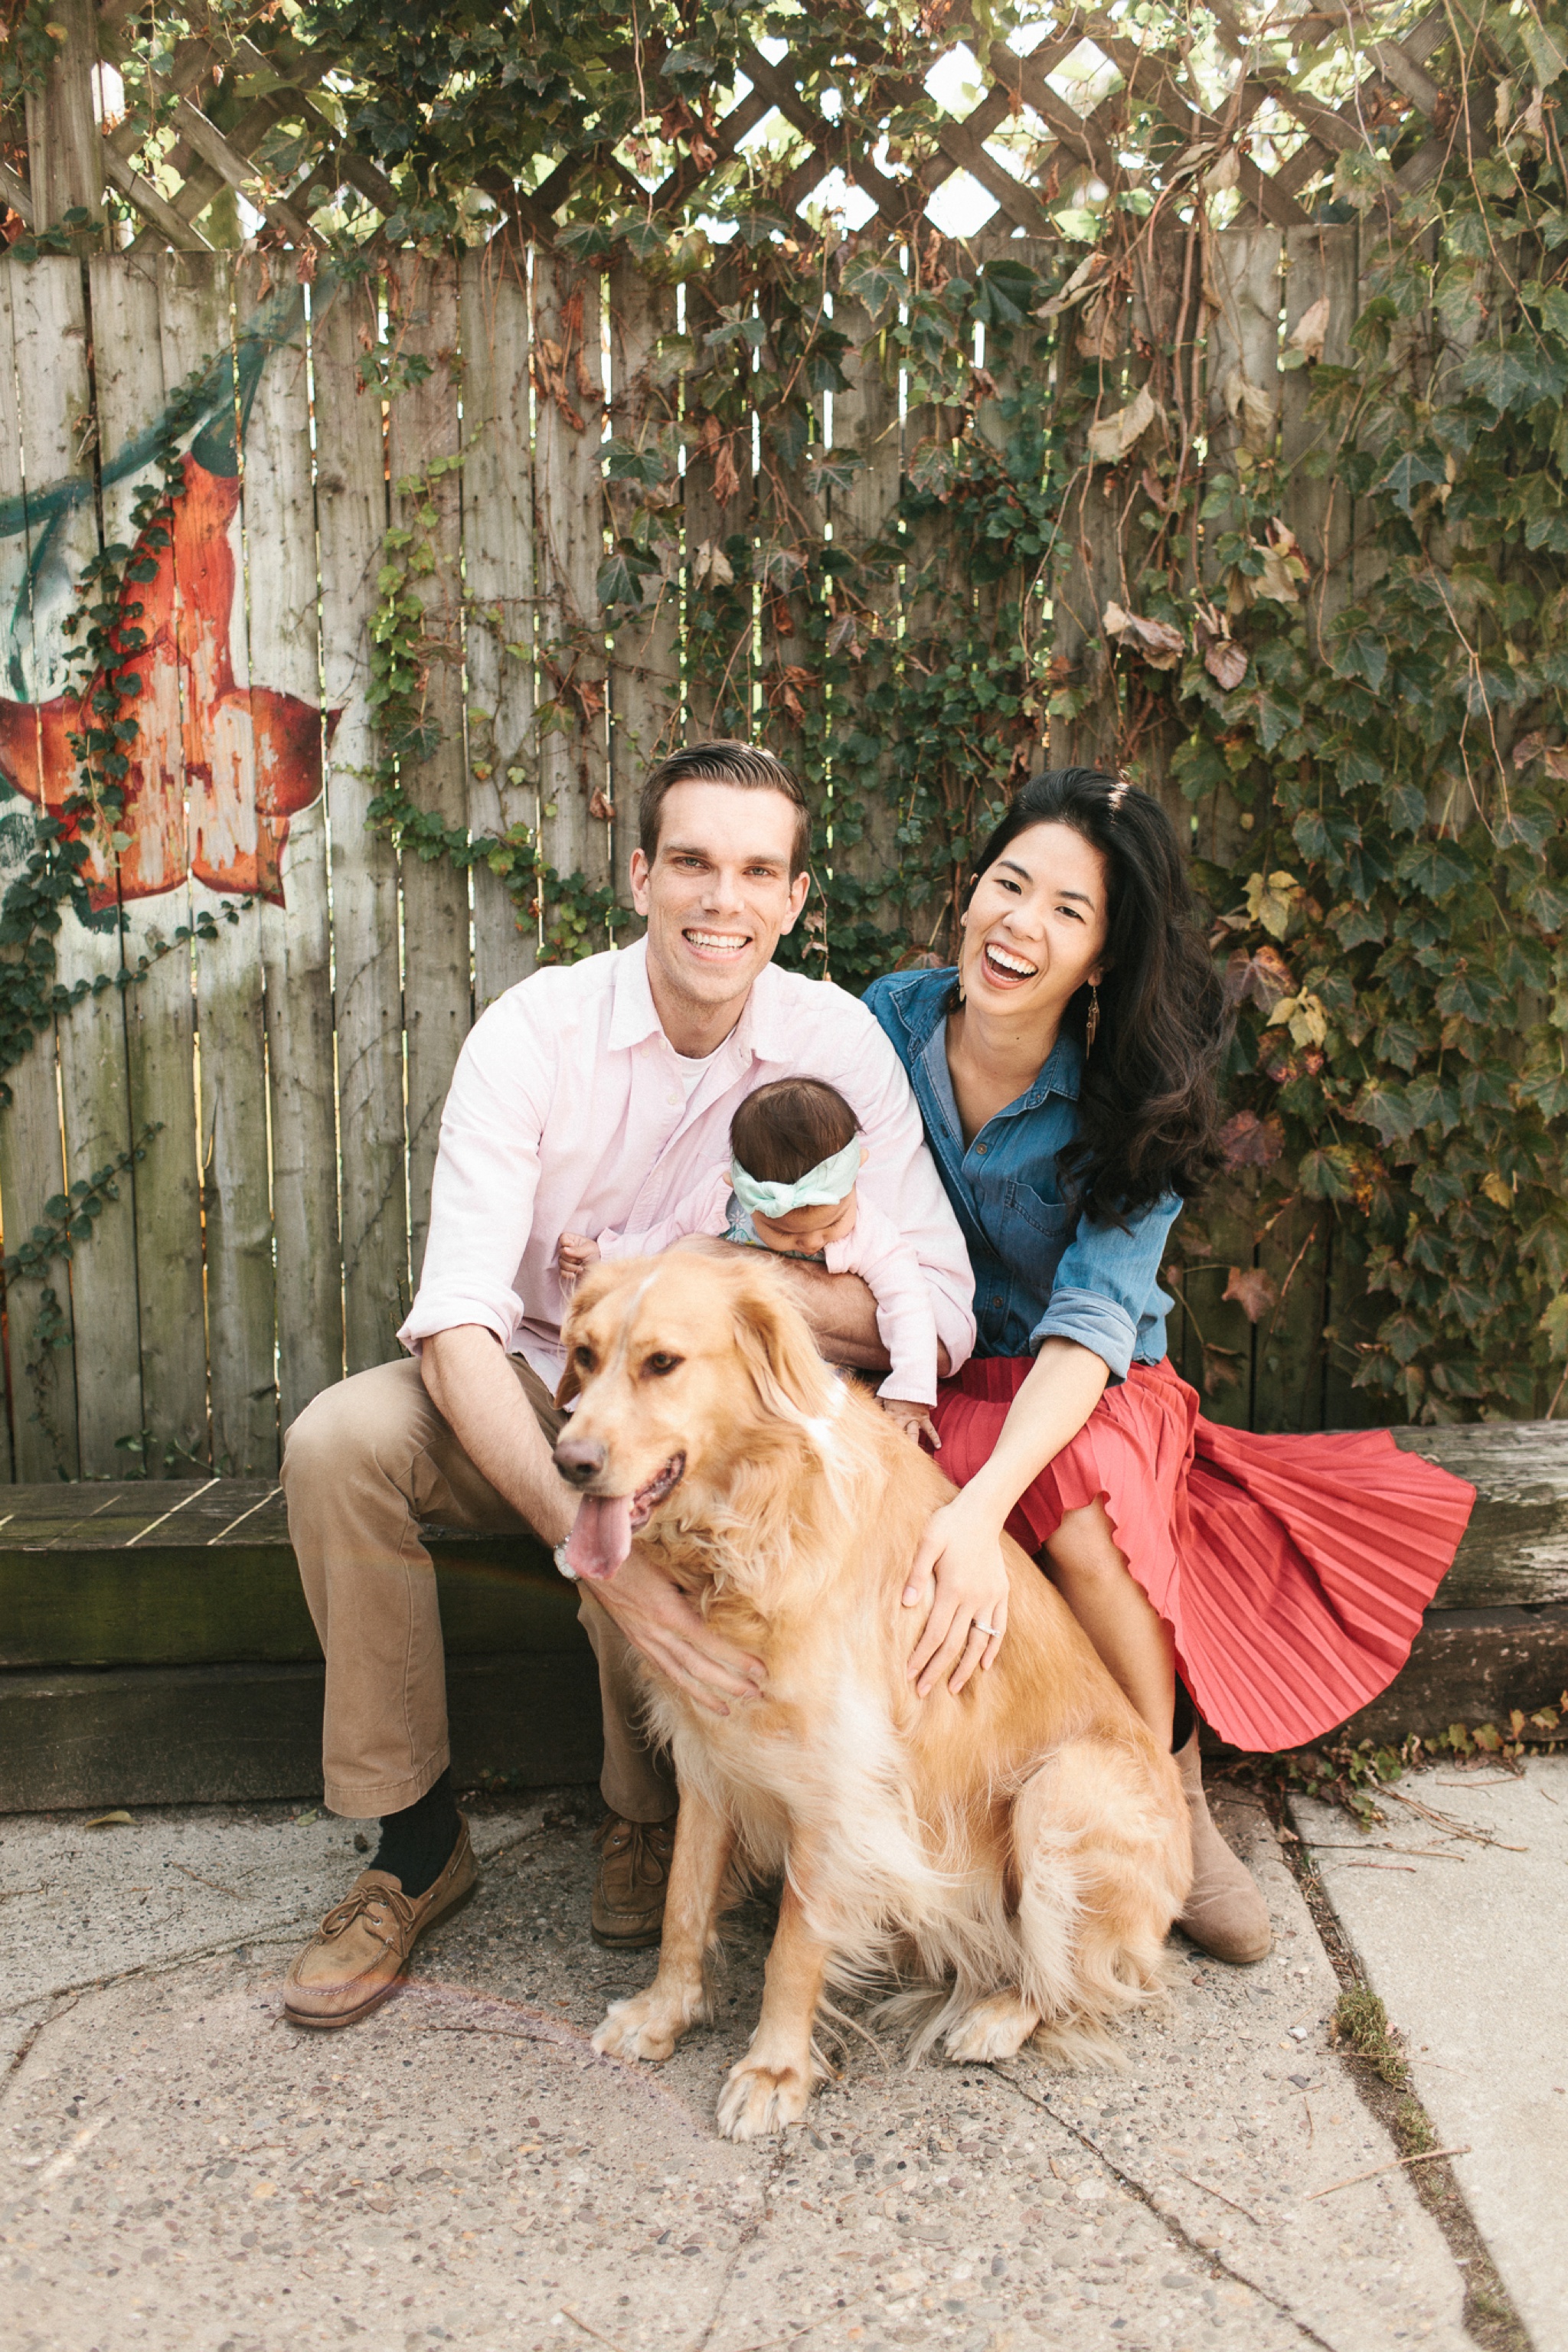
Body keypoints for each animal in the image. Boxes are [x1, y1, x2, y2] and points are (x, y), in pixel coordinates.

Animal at [552, 1260, 1189, 2145]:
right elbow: (683, 1901)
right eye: (584, 1354)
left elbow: (794, 1945)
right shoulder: (709, 1756)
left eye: (662, 1364)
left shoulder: (838, 1784)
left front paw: (773, 2069)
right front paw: (664, 2012)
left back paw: (1000, 2013)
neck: (751, 1524)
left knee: (1068, 1972)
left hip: (1062, 1790)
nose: (566, 1461)